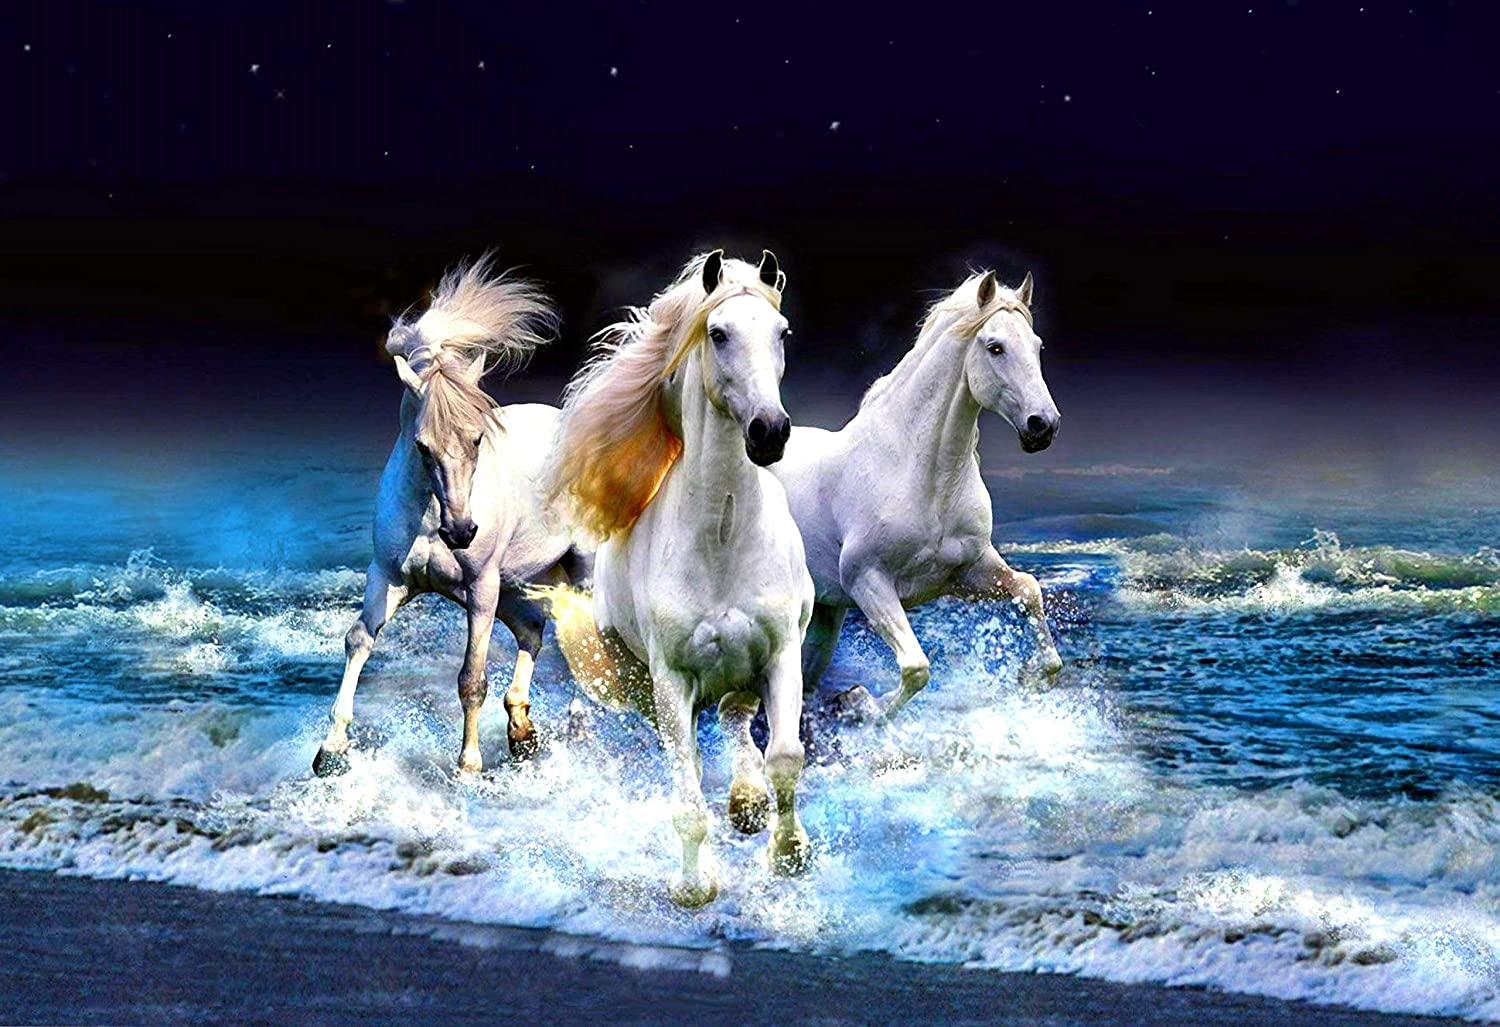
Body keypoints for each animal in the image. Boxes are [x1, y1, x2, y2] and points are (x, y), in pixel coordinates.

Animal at [312, 258, 587, 778]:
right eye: (422, 446)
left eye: (477, 438)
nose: (461, 531)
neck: (428, 517)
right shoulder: (389, 577)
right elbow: (358, 640)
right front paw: (330, 750)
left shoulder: (480, 588)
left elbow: (471, 677)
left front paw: (469, 765)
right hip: (517, 584)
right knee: (533, 631)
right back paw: (522, 731)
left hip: (577, 573)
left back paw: (576, 725)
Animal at [539, 250, 814, 908]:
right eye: (718, 334)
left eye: (782, 333)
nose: (770, 431)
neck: (723, 538)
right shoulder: (672, 680)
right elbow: (686, 796)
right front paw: (694, 886)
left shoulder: (780, 654)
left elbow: (785, 756)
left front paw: (789, 853)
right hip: (643, 682)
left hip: (745, 669)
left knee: (738, 717)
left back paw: (748, 803)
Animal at [770, 270, 1062, 720]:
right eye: (995, 347)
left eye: (1037, 345)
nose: (1043, 425)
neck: (923, 480)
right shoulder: (867, 581)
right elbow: (916, 667)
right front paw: (861, 704)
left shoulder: (968, 572)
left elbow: (1029, 589)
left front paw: (1030, 678)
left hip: (825, 613)